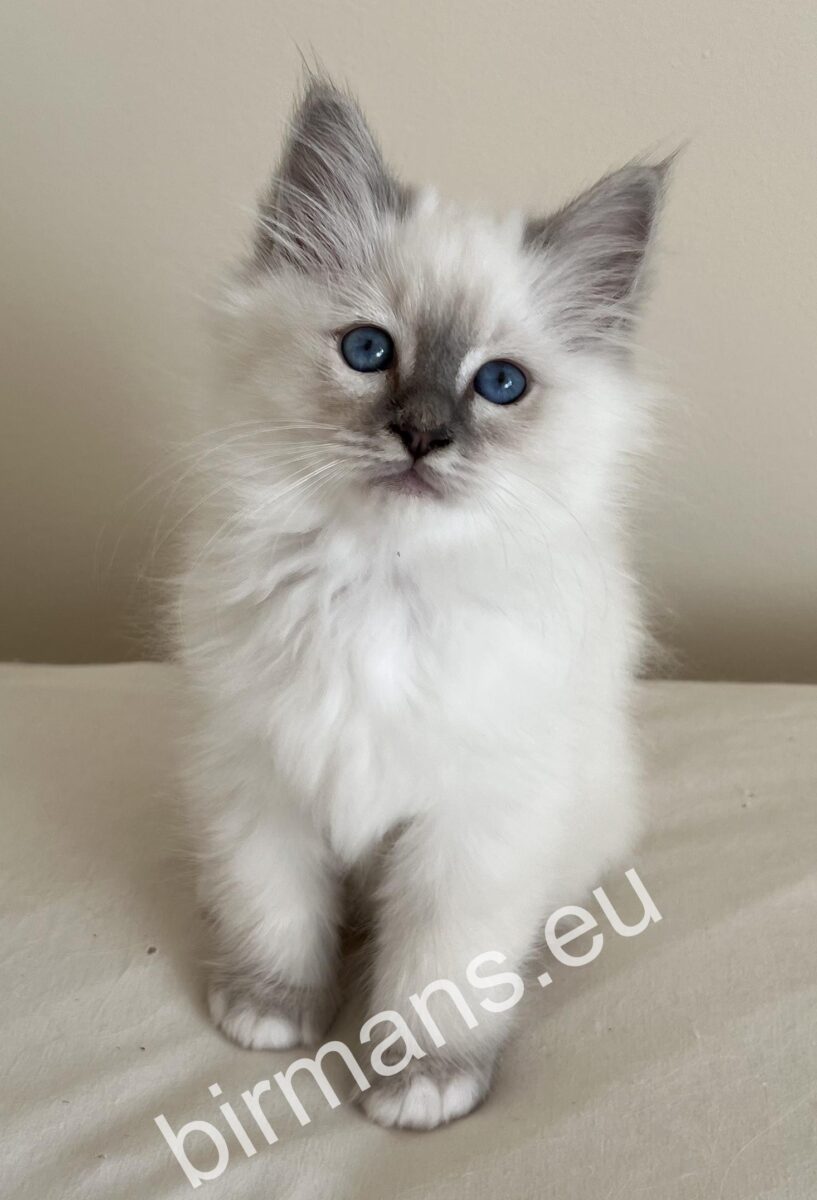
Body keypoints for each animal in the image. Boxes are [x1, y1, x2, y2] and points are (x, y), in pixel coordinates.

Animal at [175, 76, 668, 1130]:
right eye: (369, 351)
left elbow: (437, 973)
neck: (380, 582)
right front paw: (270, 1015)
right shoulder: (260, 785)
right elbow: (274, 917)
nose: (421, 435)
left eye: (499, 384)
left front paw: (419, 1083)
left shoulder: (469, 829)